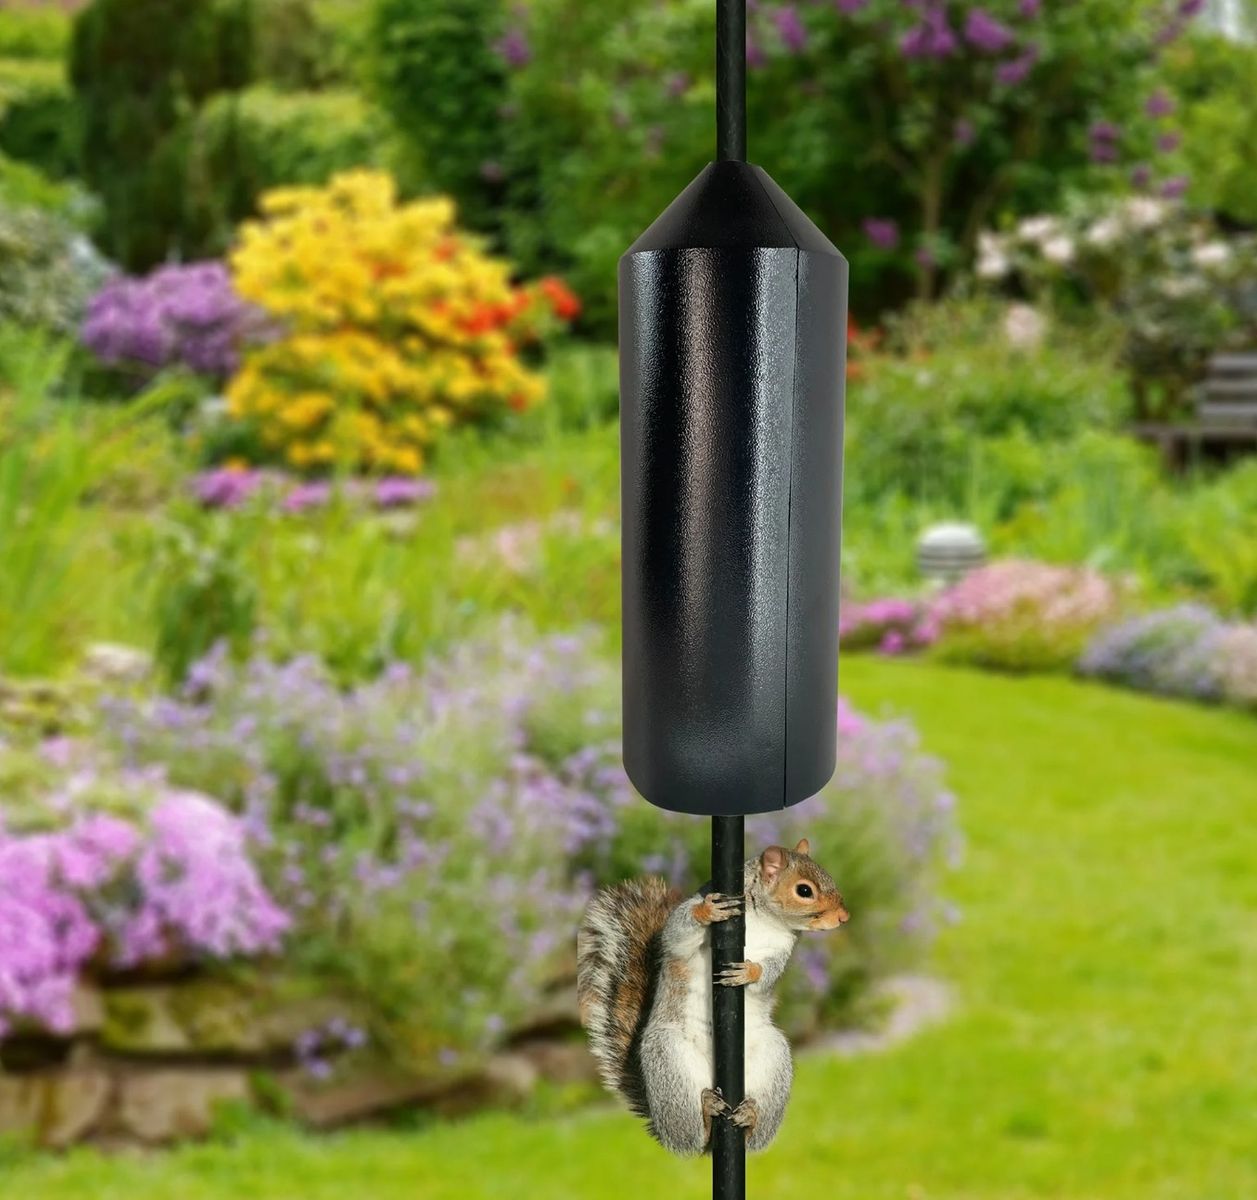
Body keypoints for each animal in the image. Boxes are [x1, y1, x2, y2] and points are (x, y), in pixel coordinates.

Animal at [576, 838, 849, 1156]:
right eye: (805, 890)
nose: (844, 917)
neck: (766, 920)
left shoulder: (783, 950)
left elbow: (768, 974)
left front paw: (750, 972)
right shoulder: (686, 921)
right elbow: (677, 933)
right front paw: (707, 912)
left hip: (774, 1058)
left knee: (753, 1138)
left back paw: (750, 1118)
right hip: (669, 1060)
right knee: (692, 1137)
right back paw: (705, 1113)